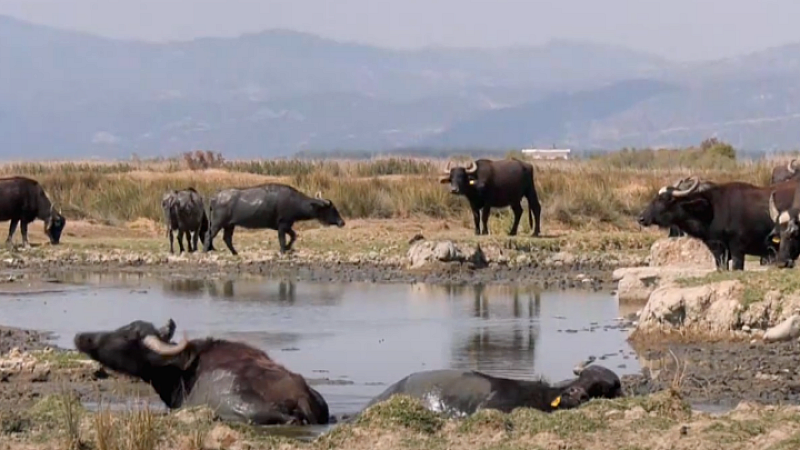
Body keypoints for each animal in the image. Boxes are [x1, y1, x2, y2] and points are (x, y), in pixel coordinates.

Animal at [203, 182, 344, 253]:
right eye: (332, 209)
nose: (342, 222)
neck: (294, 202)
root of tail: (214, 198)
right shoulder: (283, 225)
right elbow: (283, 239)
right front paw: (284, 249)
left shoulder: (287, 225)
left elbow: (294, 235)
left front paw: (288, 248)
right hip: (217, 223)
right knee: (208, 235)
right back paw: (205, 251)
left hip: (230, 225)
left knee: (227, 238)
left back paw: (235, 253)